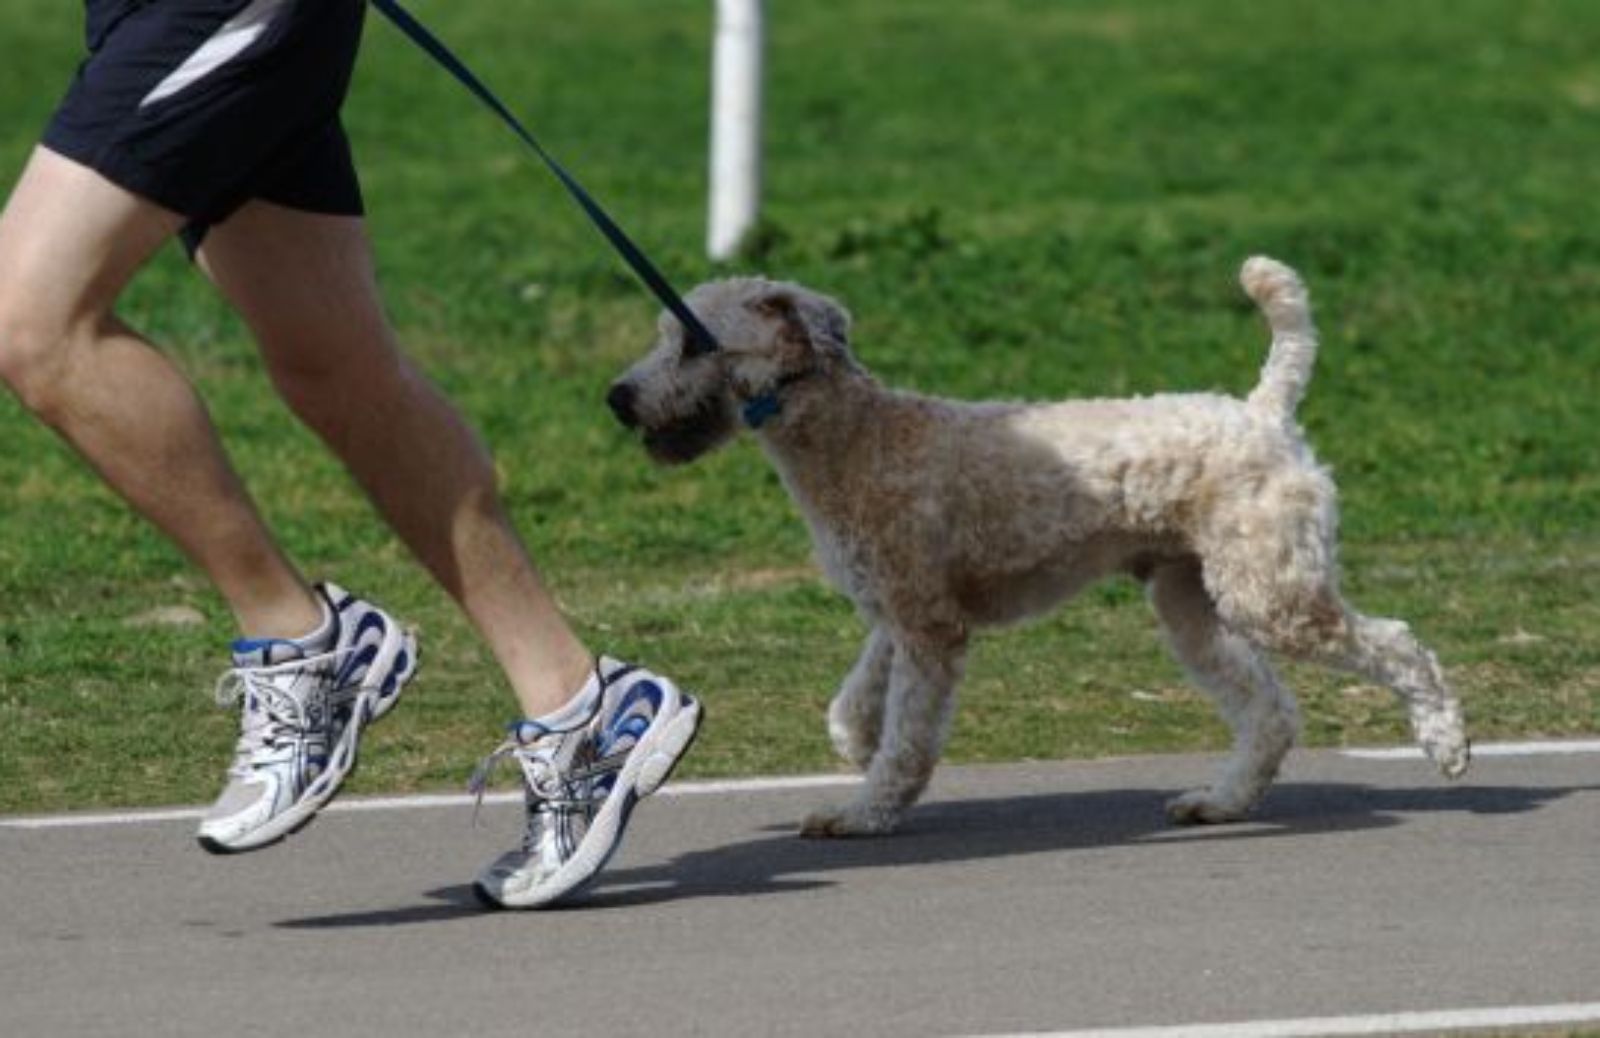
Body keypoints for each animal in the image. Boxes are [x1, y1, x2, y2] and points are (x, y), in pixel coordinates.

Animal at [604, 257, 1465, 831]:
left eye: (691, 345)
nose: (617, 397)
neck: (853, 439)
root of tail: (1264, 410)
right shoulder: (902, 609)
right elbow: (858, 692)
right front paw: (853, 741)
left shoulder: (928, 627)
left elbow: (909, 738)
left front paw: (864, 810)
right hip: (1190, 602)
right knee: (1270, 712)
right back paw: (1219, 802)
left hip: (1269, 593)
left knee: (1399, 645)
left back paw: (1446, 746)